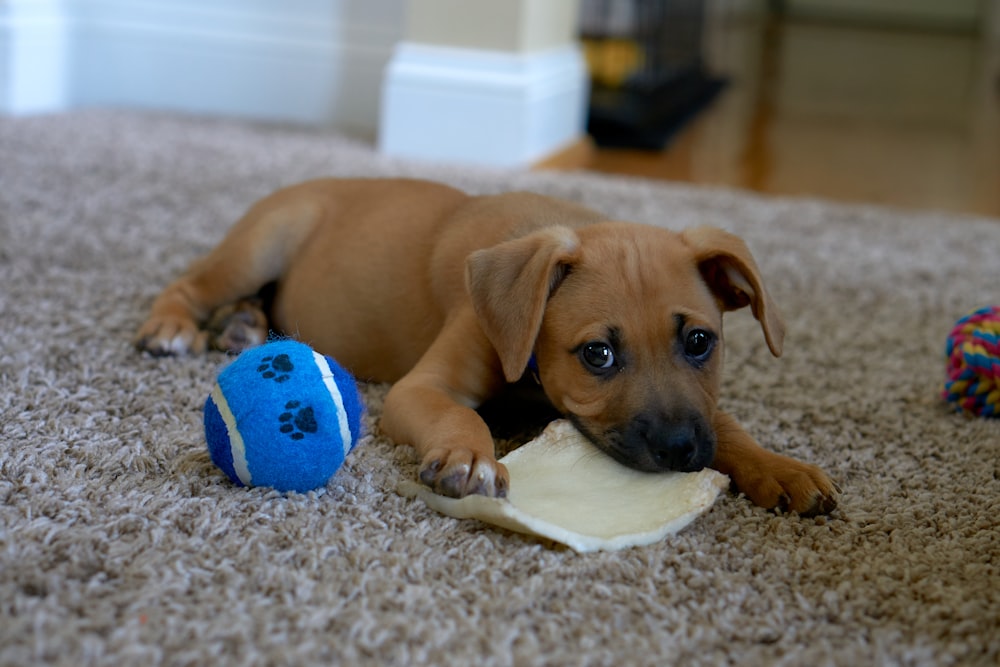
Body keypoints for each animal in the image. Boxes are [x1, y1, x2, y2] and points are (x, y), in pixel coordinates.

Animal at [137, 177, 840, 516]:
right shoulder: (423, 390)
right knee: (191, 283)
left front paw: (779, 467)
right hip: (258, 246)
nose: (679, 451)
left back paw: (244, 327)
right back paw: (173, 326)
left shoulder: (703, 404)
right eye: (598, 355)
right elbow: (461, 415)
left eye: (700, 342)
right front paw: (471, 460)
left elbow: (729, 424)